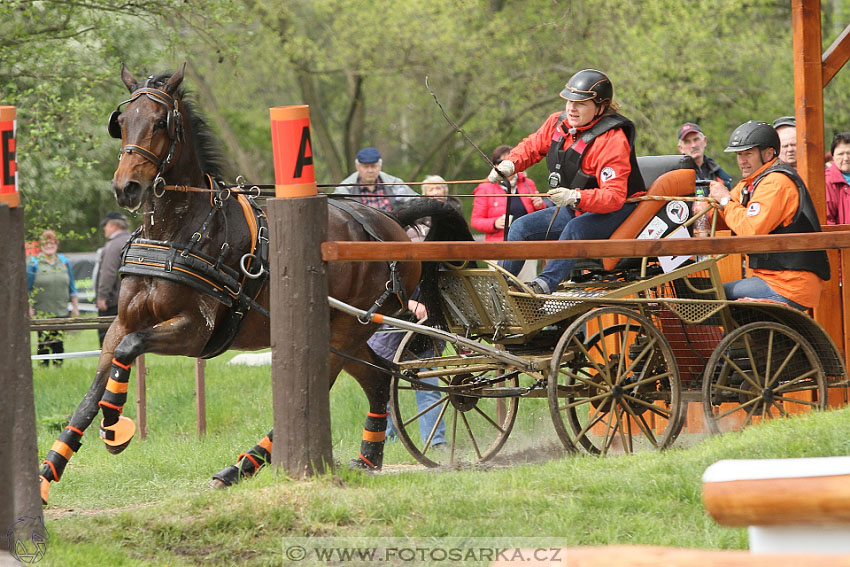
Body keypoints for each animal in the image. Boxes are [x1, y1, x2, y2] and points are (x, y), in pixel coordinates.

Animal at [39, 64, 470, 504]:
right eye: (122, 121)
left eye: (160, 122)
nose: (126, 187)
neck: (179, 231)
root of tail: (392, 223)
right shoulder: (122, 322)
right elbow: (93, 390)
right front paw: (46, 474)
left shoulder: (195, 332)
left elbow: (131, 349)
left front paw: (115, 426)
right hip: (349, 336)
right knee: (379, 377)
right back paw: (367, 459)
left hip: (345, 328)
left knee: (325, 386)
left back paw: (243, 465)